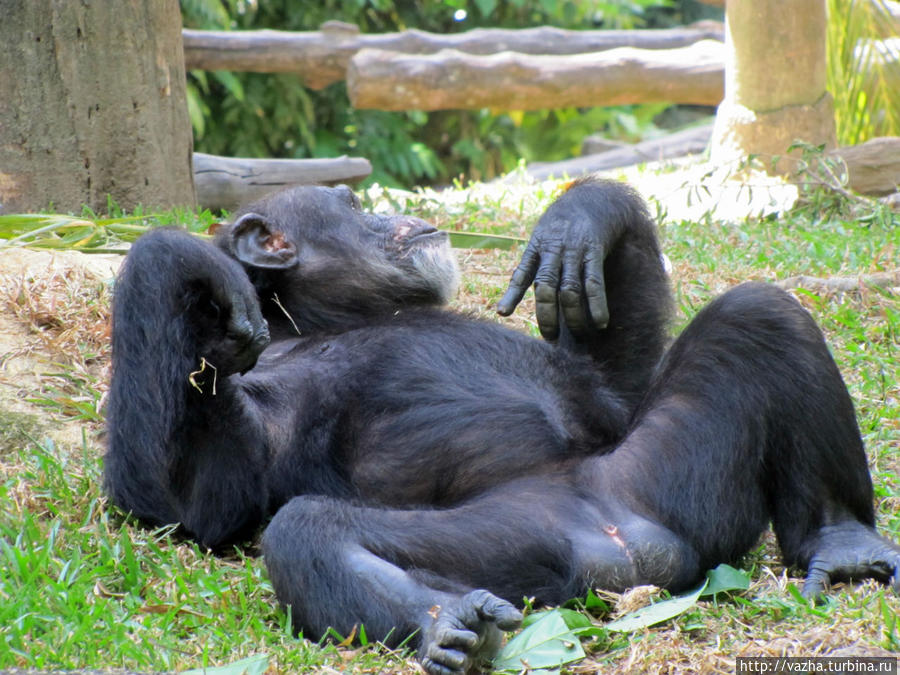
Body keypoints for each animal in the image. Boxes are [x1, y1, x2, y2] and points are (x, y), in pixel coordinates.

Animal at [105, 177, 900, 672]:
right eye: (350, 204)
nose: (387, 211)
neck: (331, 317)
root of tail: (631, 551)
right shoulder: (265, 390)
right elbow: (190, 504)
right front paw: (185, 259)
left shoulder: (605, 402)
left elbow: (612, 392)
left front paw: (583, 218)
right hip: (524, 538)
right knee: (309, 531)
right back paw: (449, 622)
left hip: (669, 483)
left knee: (759, 314)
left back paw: (844, 543)